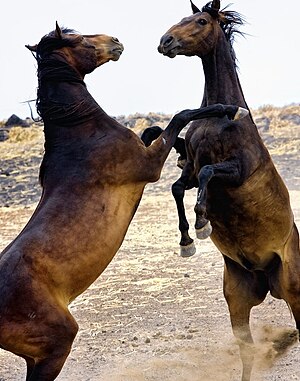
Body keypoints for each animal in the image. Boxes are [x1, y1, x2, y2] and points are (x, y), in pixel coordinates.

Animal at [0, 23, 245, 380]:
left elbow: (156, 129)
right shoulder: (149, 166)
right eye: (77, 39)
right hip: (54, 347)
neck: (82, 135)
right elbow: (181, 114)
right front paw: (229, 109)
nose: (114, 41)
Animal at [157, 0, 300, 380]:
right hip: (238, 298)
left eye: (201, 20)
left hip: (294, 288)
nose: (165, 42)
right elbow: (178, 187)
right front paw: (187, 240)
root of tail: (265, 277)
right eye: (182, 17)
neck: (218, 120)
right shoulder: (190, 169)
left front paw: (202, 222)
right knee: (247, 350)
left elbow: (209, 174)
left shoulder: (235, 171)